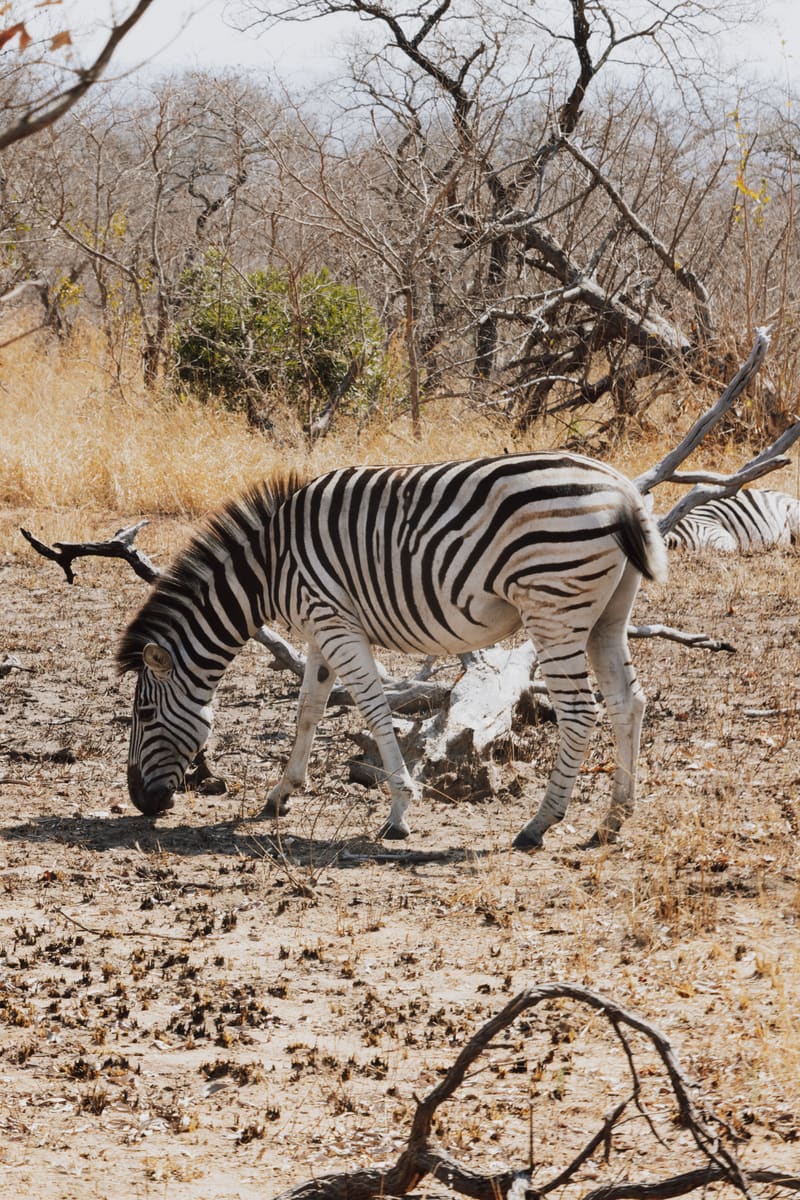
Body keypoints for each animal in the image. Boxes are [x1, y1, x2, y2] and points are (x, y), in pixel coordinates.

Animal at [117, 454, 667, 850]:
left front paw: (399, 812)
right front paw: (281, 794)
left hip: (553, 610)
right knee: (628, 702)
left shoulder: (335, 623)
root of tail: (624, 492)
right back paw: (614, 819)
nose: (141, 801)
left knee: (580, 712)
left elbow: (374, 711)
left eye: (143, 714)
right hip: (608, 614)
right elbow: (308, 710)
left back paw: (539, 824)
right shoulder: (320, 626)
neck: (270, 566)